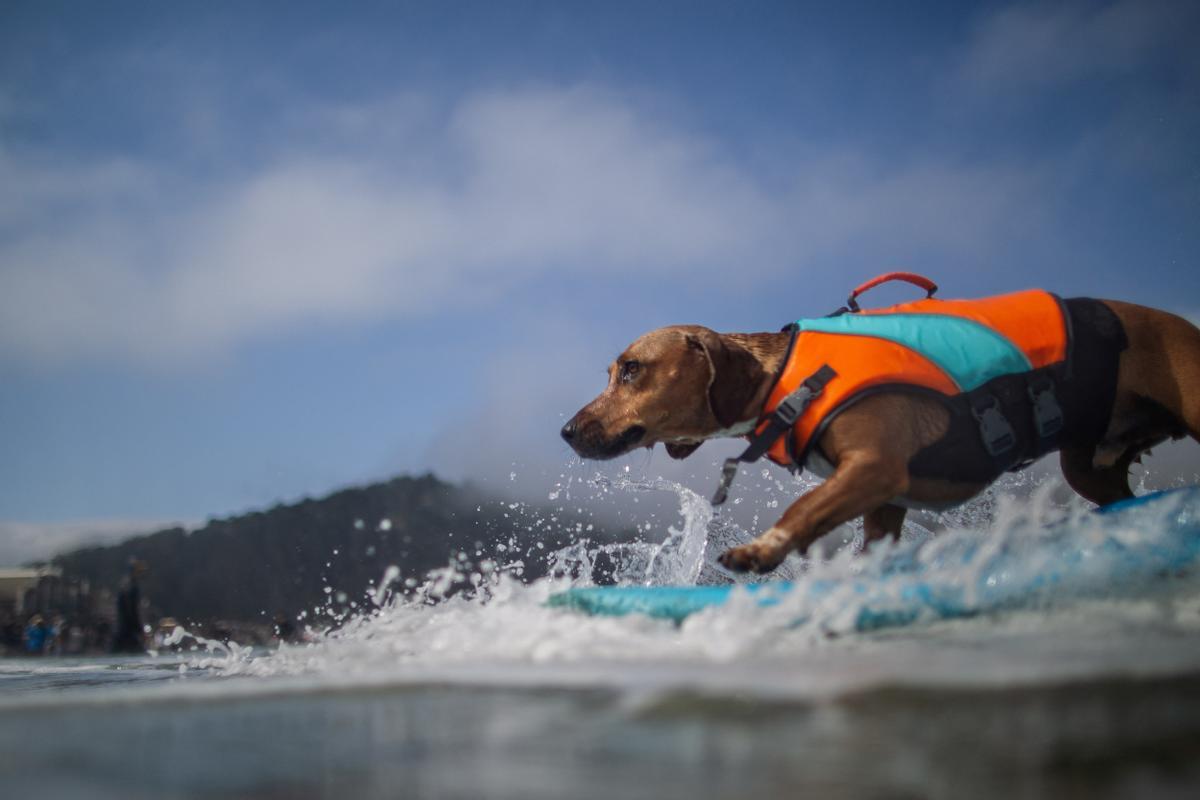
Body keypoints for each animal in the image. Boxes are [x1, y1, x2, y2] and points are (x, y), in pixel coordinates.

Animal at [559, 298, 1200, 568]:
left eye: (632, 369)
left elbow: (803, 508)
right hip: (1089, 470)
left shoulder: (875, 465)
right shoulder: (885, 499)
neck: (788, 377)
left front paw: (761, 551)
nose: (566, 430)